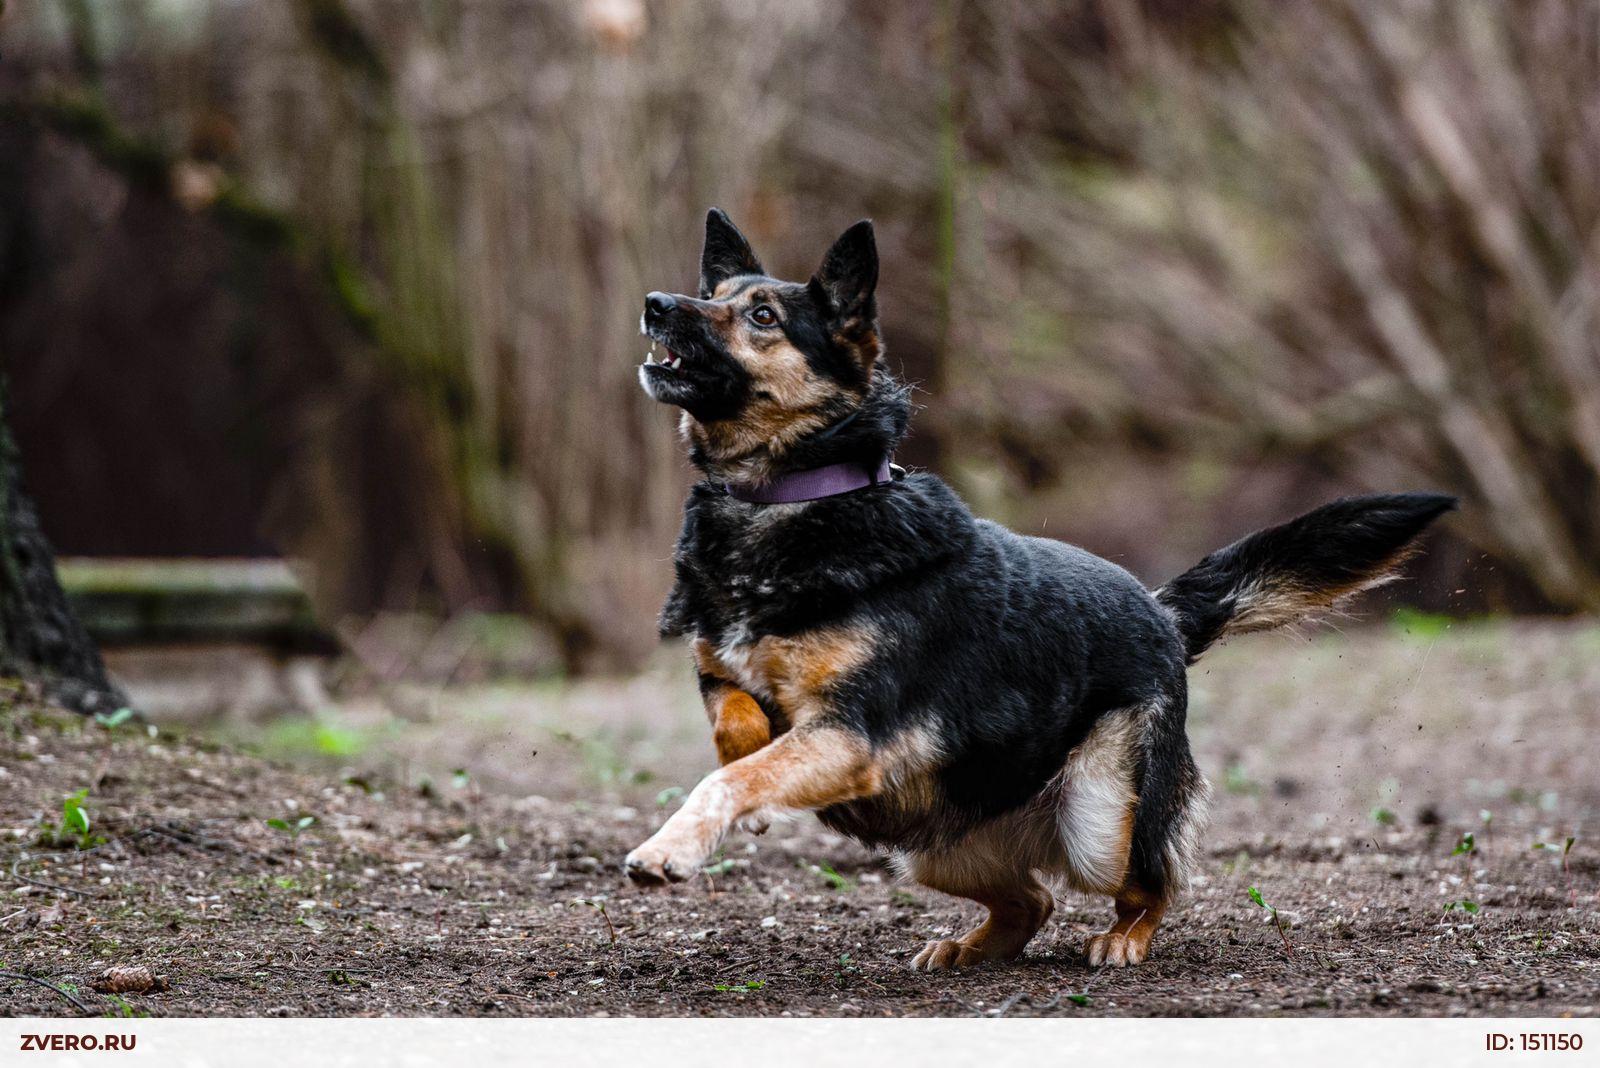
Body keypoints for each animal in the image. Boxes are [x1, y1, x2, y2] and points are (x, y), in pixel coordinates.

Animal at [620, 207, 1452, 965]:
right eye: (715, 292)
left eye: (762, 315)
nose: (655, 303)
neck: (792, 499)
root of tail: (1161, 612)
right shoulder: (729, 679)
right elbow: (736, 733)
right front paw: (751, 792)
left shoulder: (851, 733)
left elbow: (730, 778)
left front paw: (671, 848)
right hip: (934, 845)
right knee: (1032, 900)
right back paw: (969, 947)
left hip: (1099, 815)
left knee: (1152, 881)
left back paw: (1123, 939)